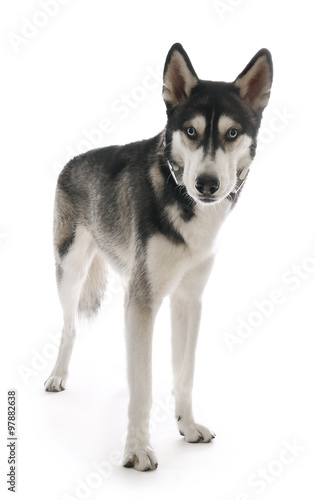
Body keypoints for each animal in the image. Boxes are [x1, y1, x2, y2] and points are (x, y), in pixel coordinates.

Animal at [45, 42, 274, 468]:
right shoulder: (145, 299)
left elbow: (183, 374)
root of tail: (73, 160)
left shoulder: (187, 300)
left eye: (232, 133)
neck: (183, 202)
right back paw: (57, 375)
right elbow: (145, 384)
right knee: (69, 327)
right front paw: (137, 448)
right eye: (191, 132)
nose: (206, 184)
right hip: (70, 269)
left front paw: (188, 426)